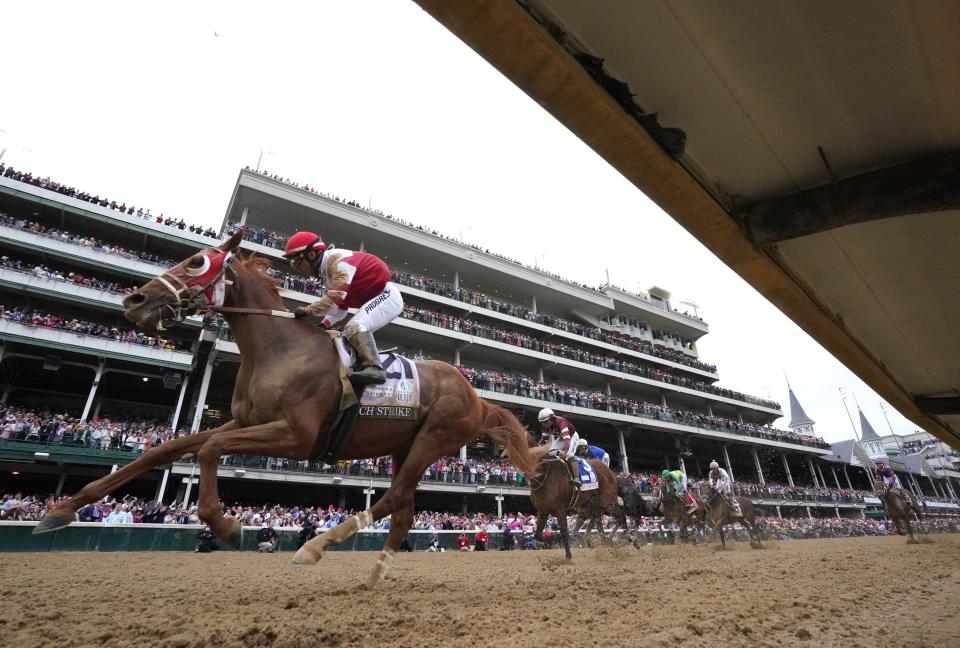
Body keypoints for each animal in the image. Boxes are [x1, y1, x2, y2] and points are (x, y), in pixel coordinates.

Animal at [33, 233, 536, 588]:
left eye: (196, 261)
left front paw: (226, 526)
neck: (278, 349)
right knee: (403, 510)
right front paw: (63, 508)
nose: (134, 300)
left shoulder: (298, 436)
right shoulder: (248, 421)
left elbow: (211, 448)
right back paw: (372, 576)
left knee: (393, 498)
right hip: (405, 445)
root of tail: (476, 394)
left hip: (434, 439)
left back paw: (314, 547)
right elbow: (167, 449)